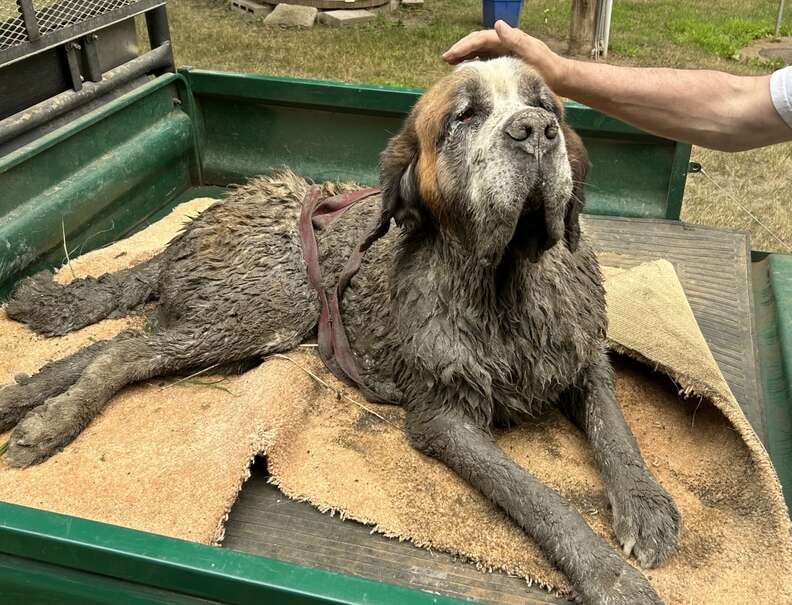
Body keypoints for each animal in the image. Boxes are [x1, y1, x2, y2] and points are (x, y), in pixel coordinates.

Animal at [1, 57, 680, 604]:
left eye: (547, 106)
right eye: (463, 117)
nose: (535, 131)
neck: (503, 282)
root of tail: (210, 215)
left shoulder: (581, 355)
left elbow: (615, 429)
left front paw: (645, 504)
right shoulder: (445, 416)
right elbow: (537, 495)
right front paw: (608, 575)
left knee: (112, 345)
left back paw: (25, 403)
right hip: (265, 313)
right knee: (125, 352)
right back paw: (52, 421)